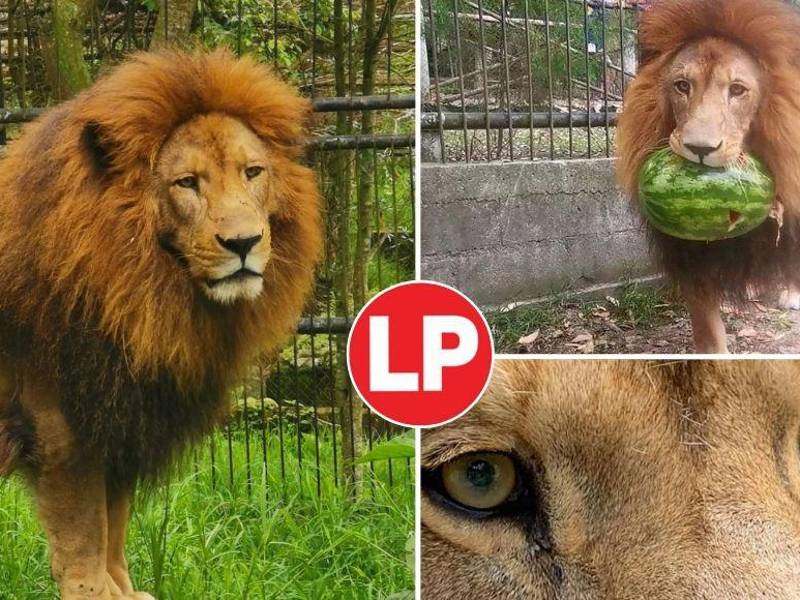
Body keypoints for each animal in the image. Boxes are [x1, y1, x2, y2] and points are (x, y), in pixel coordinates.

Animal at [0, 50, 322, 599]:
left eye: (253, 172)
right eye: (187, 183)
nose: (244, 242)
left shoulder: (124, 419)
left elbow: (114, 523)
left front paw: (125, 592)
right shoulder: (61, 428)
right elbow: (84, 538)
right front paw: (95, 593)